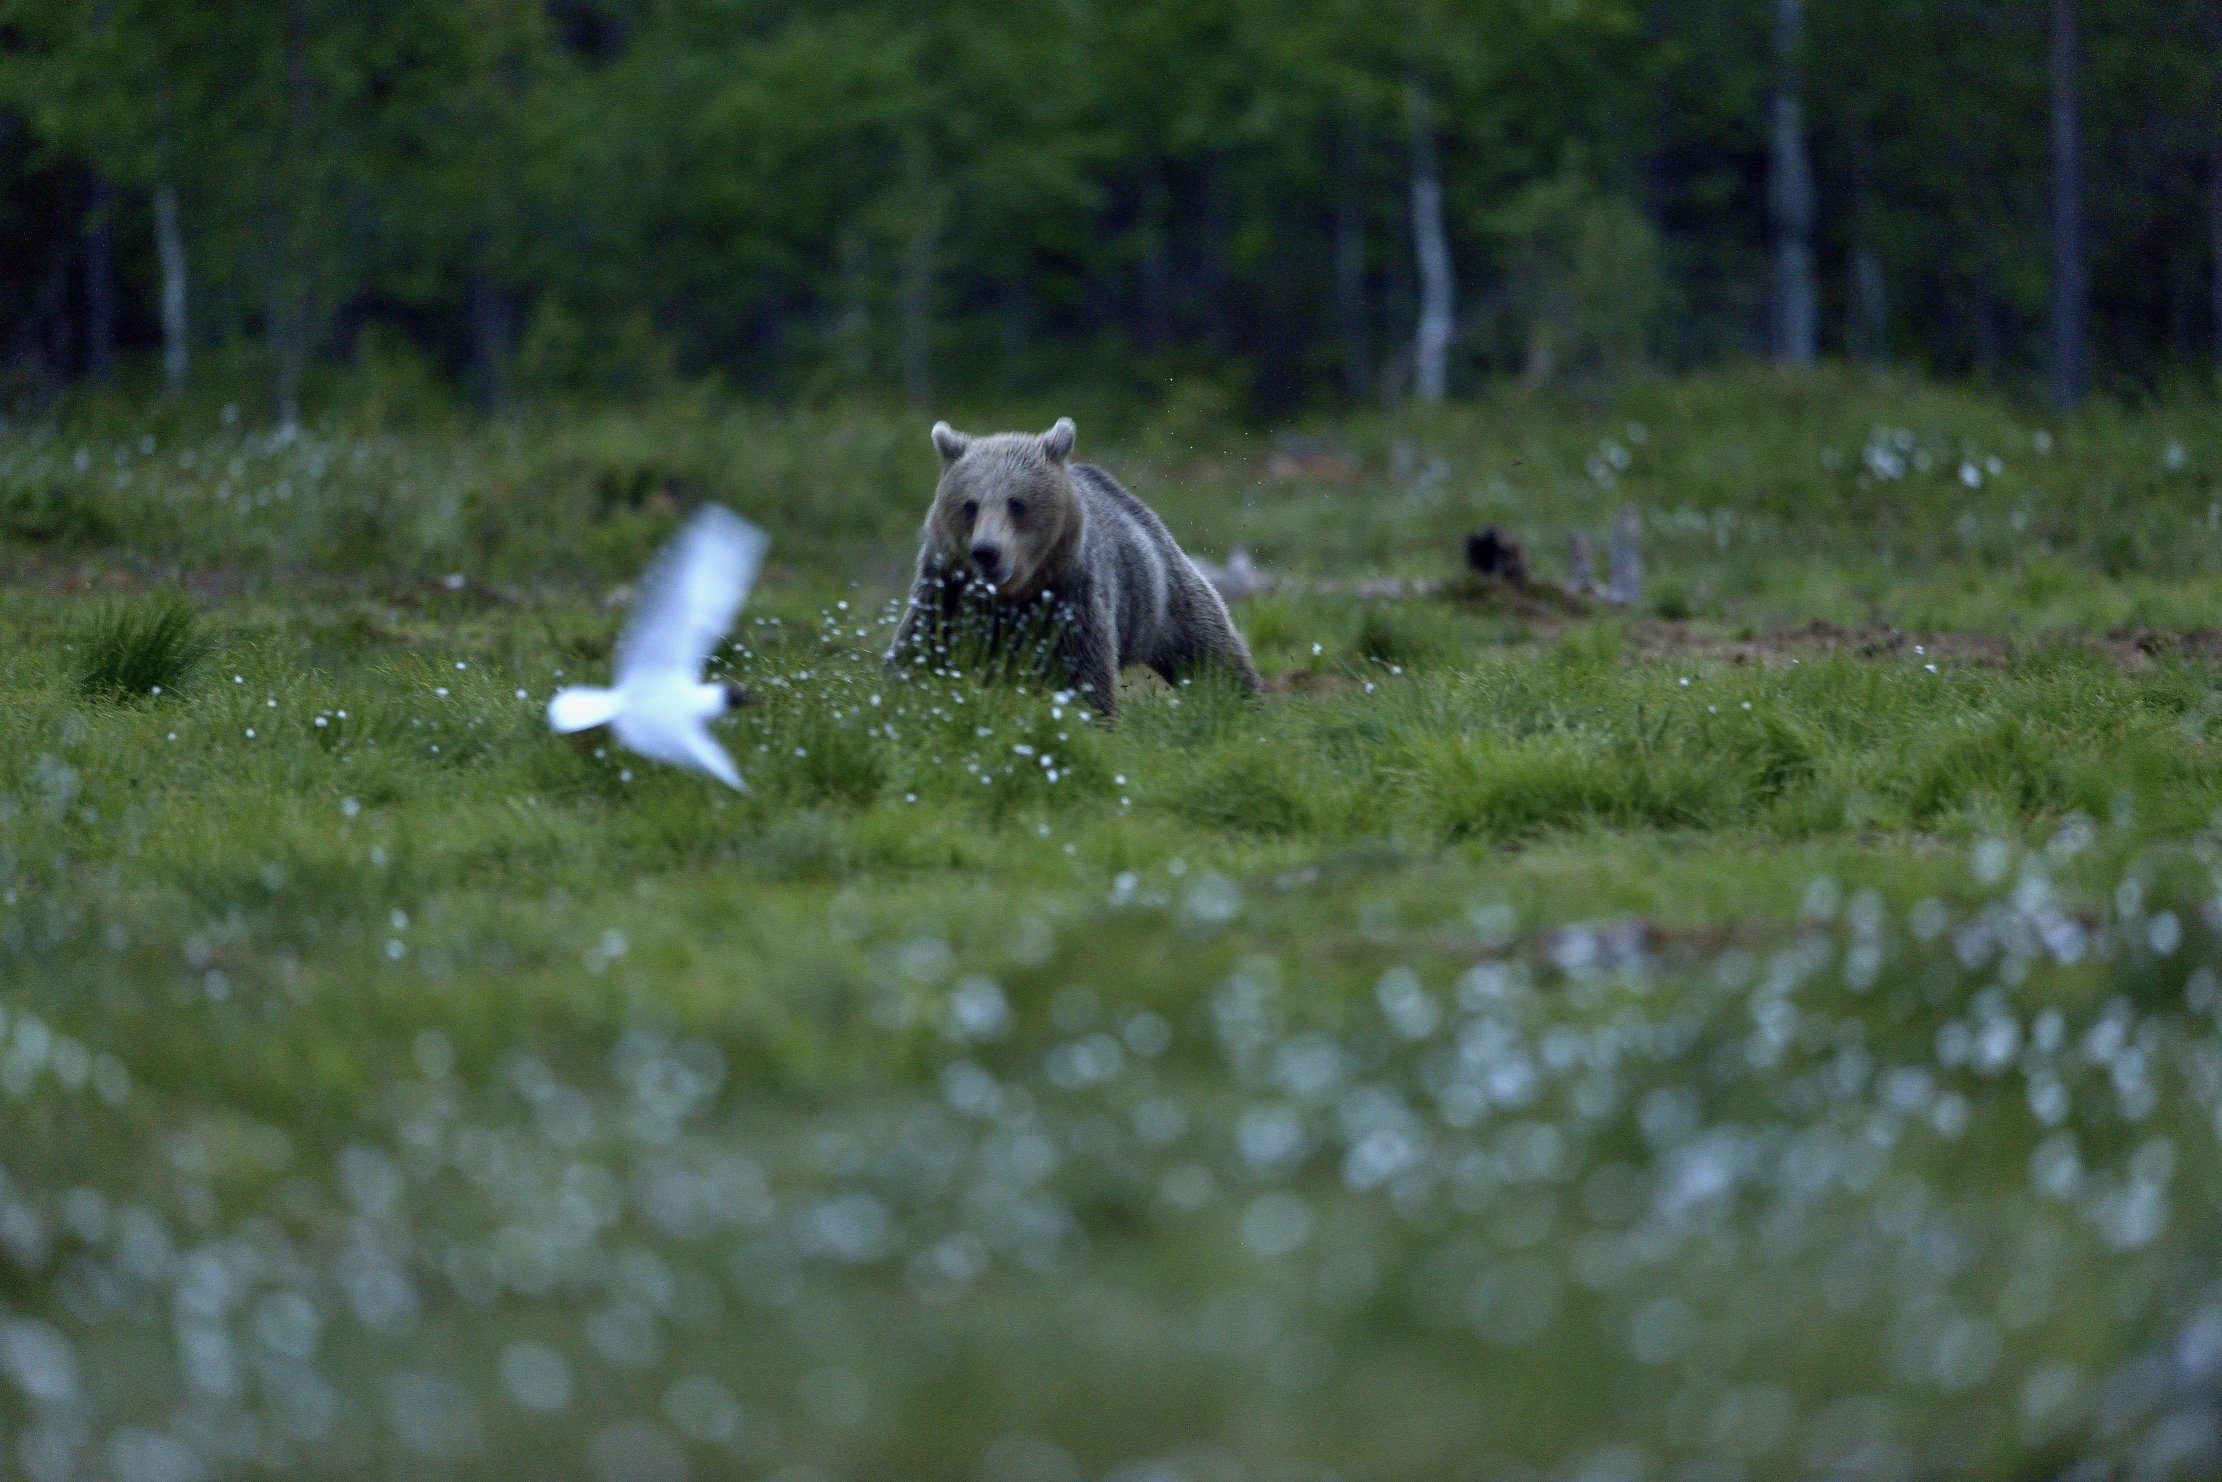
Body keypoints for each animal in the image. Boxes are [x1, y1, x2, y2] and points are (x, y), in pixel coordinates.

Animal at [885, 417, 1261, 722]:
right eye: (970, 505)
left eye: (1016, 503)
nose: (986, 552)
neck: (1014, 593)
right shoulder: (947, 586)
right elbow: (918, 647)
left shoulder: (1071, 594)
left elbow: (1085, 673)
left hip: (1162, 600)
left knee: (1213, 654)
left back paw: (1245, 704)